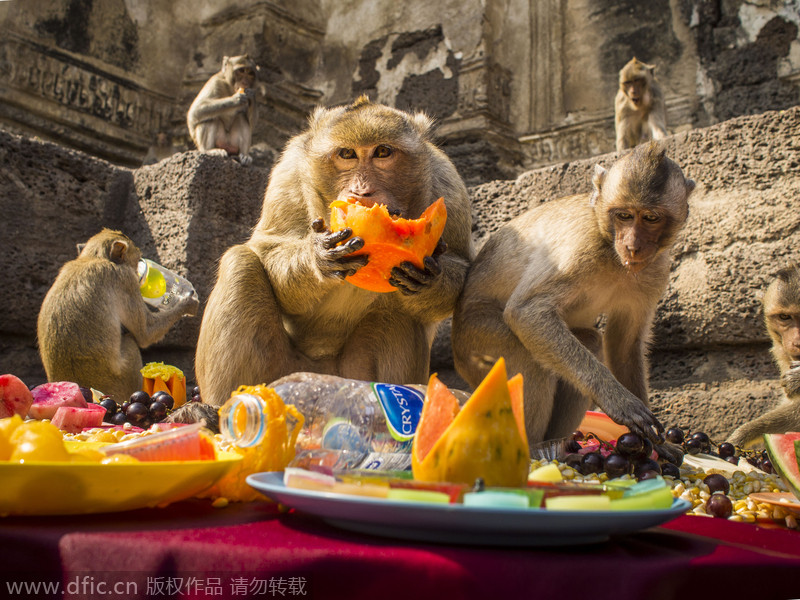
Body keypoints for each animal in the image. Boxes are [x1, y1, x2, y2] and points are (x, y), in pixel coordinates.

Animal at [37, 229, 199, 403]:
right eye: (136, 260)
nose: (140, 270)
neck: (92, 259)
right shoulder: (125, 280)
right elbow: (145, 334)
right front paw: (187, 302)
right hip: (121, 381)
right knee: (131, 342)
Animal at [195, 96, 474, 407]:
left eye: (382, 152)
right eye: (347, 154)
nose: (361, 191)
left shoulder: (446, 181)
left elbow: (461, 270)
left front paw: (426, 277)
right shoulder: (289, 171)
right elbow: (268, 249)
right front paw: (318, 257)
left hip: (350, 375)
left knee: (396, 310)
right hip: (281, 372)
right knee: (241, 263)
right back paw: (219, 408)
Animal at [452, 142, 695, 456]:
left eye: (650, 218)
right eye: (624, 216)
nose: (633, 246)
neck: (610, 248)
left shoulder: (655, 271)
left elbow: (624, 343)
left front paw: (659, 445)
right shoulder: (582, 246)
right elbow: (526, 311)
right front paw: (619, 401)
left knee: (590, 342)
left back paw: (559, 445)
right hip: (475, 339)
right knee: (528, 360)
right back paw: (532, 452)